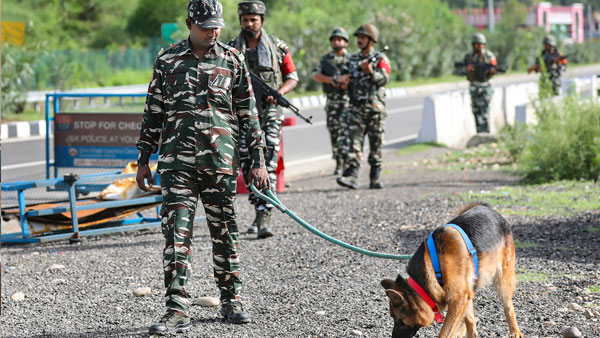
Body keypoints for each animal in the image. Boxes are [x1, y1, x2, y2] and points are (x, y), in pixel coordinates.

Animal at [382, 202, 524, 336]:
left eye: (398, 320)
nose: (393, 337)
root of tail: (488, 209)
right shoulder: (464, 296)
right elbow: (469, 320)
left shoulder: (458, 298)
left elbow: (446, 331)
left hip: (503, 281)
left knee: (508, 307)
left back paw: (515, 331)